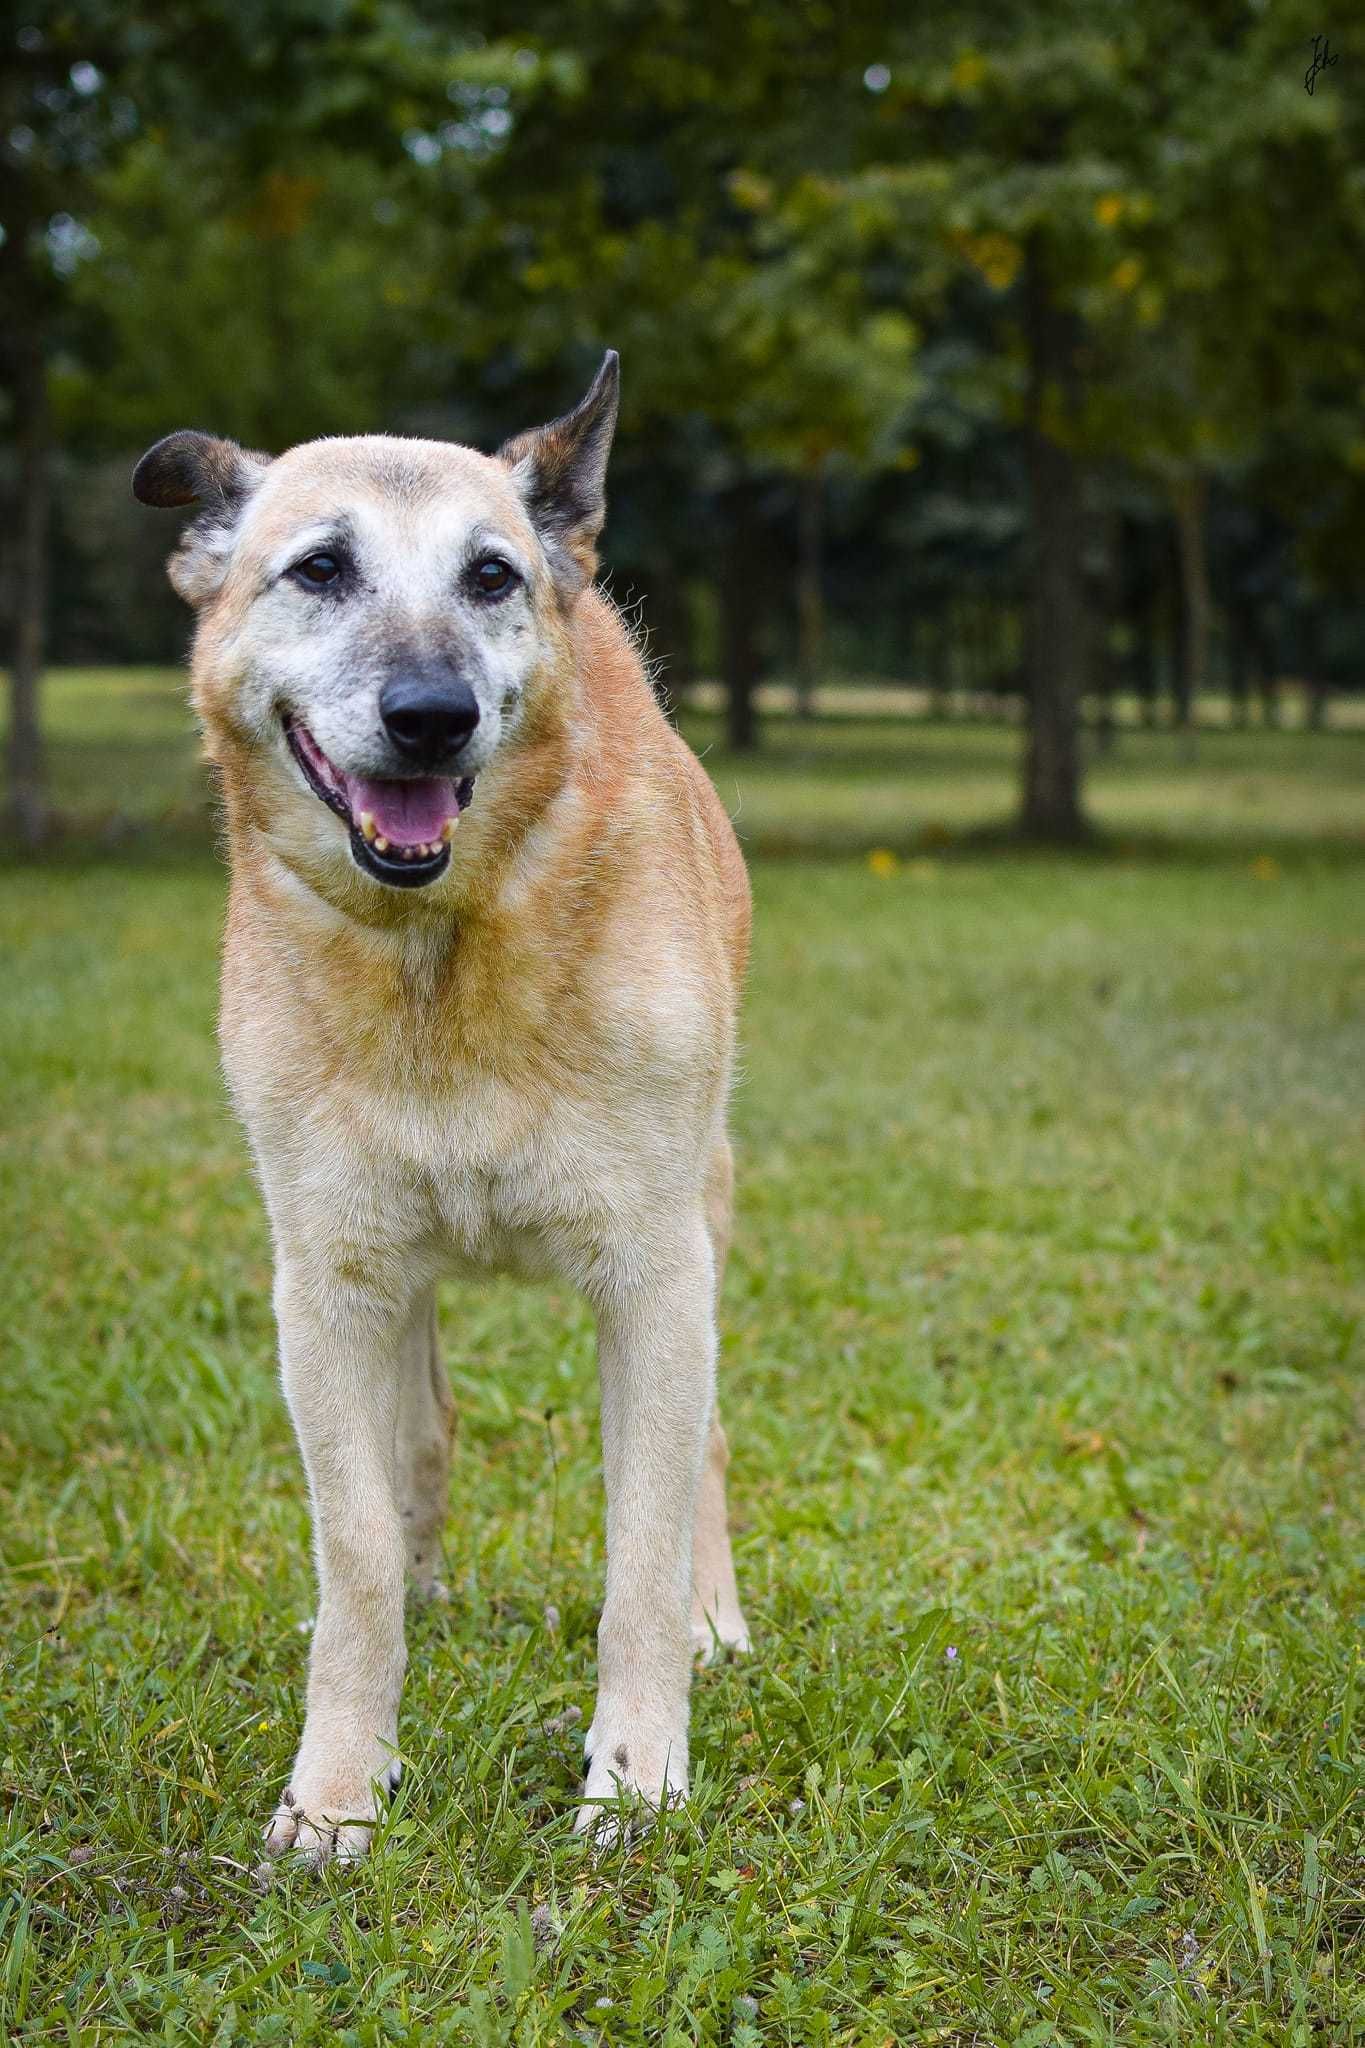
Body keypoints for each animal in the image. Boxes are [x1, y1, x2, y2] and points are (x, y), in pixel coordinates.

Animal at [133, 360, 753, 1867]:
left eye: (488, 575)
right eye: (319, 567)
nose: (431, 714)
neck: (443, 950)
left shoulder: (656, 1278)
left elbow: (641, 1545)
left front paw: (636, 1776)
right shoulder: (328, 1282)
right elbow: (354, 1539)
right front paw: (336, 1787)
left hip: (707, 1209)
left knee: (703, 1452)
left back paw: (713, 1617)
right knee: (412, 1449)